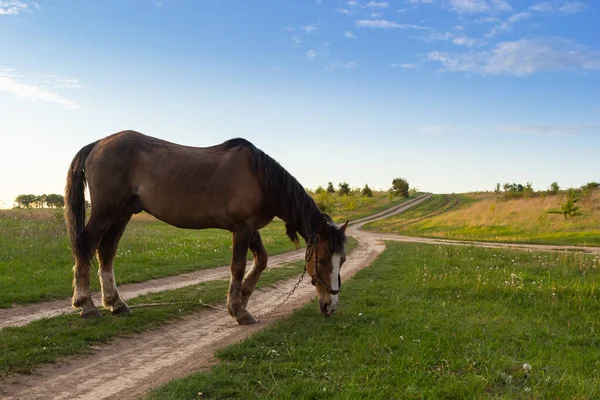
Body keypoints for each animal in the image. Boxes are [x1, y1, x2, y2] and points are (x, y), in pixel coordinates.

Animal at [63, 131, 350, 324]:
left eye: (343, 260)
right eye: (322, 260)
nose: (331, 306)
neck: (260, 177)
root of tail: (97, 144)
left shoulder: (250, 228)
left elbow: (262, 260)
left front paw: (243, 298)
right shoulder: (242, 228)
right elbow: (238, 267)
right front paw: (239, 310)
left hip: (122, 213)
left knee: (106, 251)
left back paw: (116, 303)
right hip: (106, 211)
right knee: (86, 247)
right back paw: (86, 305)